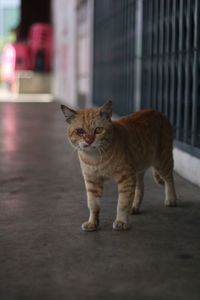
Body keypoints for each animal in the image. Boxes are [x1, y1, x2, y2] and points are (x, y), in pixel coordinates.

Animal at [60, 101, 177, 232]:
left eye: (98, 130)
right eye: (80, 131)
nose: (89, 141)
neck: (96, 159)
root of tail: (157, 111)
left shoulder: (126, 178)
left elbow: (122, 203)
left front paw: (121, 221)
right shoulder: (92, 181)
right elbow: (93, 204)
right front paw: (92, 222)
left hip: (162, 162)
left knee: (169, 179)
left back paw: (171, 199)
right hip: (138, 169)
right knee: (140, 188)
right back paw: (135, 206)